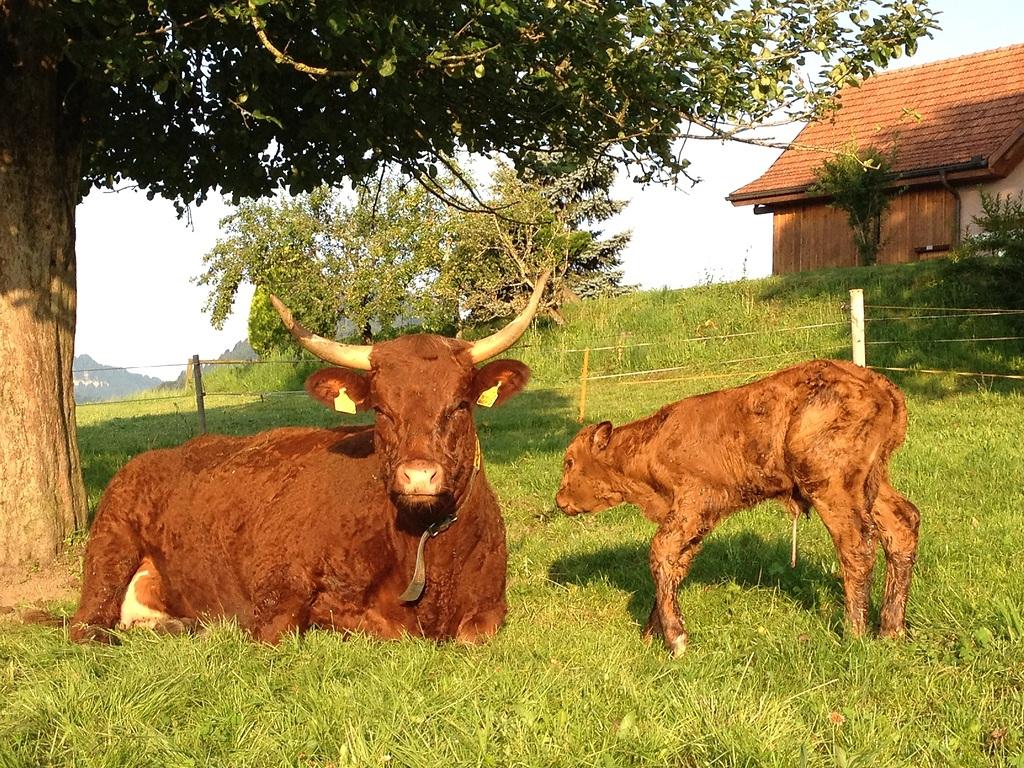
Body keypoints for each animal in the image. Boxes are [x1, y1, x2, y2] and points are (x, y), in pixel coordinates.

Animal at [69, 274, 550, 644]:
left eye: (460, 405)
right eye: (382, 410)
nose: (418, 476)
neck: (423, 546)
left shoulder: (490, 603)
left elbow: (473, 633)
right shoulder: (278, 592)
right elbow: (350, 626)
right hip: (110, 546)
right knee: (87, 625)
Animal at [555, 359, 920, 657]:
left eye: (570, 461)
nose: (559, 501)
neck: (654, 442)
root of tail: (878, 384)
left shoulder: (692, 504)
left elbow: (661, 552)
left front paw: (676, 640)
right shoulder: (697, 523)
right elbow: (675, 565)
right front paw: (650, 634)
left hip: (832, 488)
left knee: (856, 544)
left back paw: (855, 634)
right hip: (872, 485)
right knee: (902, 525)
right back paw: (891, 631)